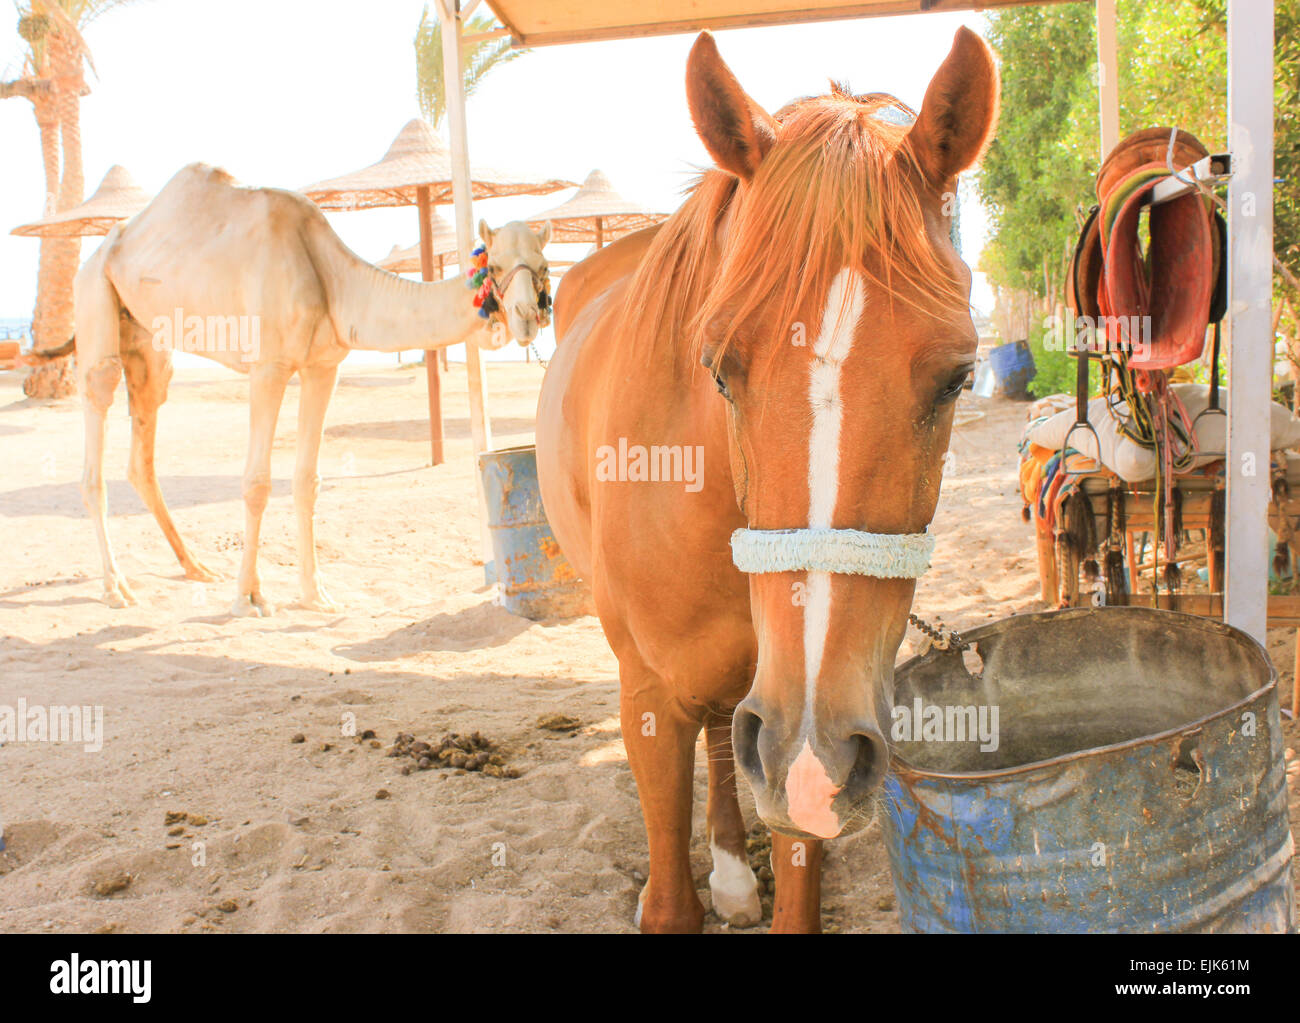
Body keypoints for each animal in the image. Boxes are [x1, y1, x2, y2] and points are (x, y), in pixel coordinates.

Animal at [34, 163, 552, 615]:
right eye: (495, 265)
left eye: (544, 265)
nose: (527, 316)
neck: (331, 278)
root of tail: (100, 251)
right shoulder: (270, 365)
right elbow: (257, 483)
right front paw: (249, 598)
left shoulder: (324, 366)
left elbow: (307, 480)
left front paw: (315, 596)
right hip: (94, 296)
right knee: (98, 412)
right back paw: (115, 587)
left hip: (146, 338)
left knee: (146, 428)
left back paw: (196, 567)